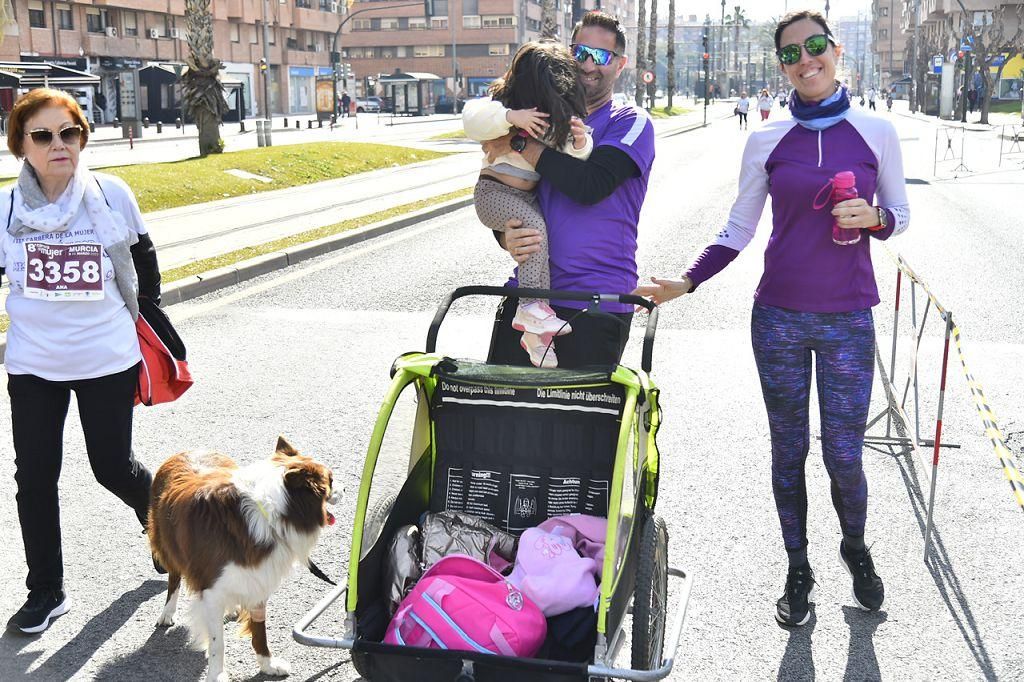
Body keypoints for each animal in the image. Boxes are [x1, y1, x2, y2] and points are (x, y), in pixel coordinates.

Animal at [149, 436, 339, 679]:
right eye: (330, 480)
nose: (345, 488)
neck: (270, 513)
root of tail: (189, 450)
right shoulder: (211, 587)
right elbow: (217, 642)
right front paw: (217, 675)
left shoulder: (258, 575)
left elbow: (259, 629)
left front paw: (268, 665)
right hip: (167, 544)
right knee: (174, 577)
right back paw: (167, 612)